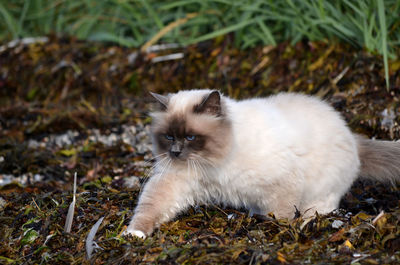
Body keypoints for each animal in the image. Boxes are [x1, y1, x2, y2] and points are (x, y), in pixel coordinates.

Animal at [123, 88, 398, 237]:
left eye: (190, 137)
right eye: (169, 137)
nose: (176, 153)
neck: (214, 163)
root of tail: (352, 135)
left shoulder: (282, 183)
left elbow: (283, 215)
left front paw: (281, 231)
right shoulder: (176, 180)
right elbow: (150, 207)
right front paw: (134, 234)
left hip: (321, 190)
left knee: (322, 206)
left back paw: (306, 220)